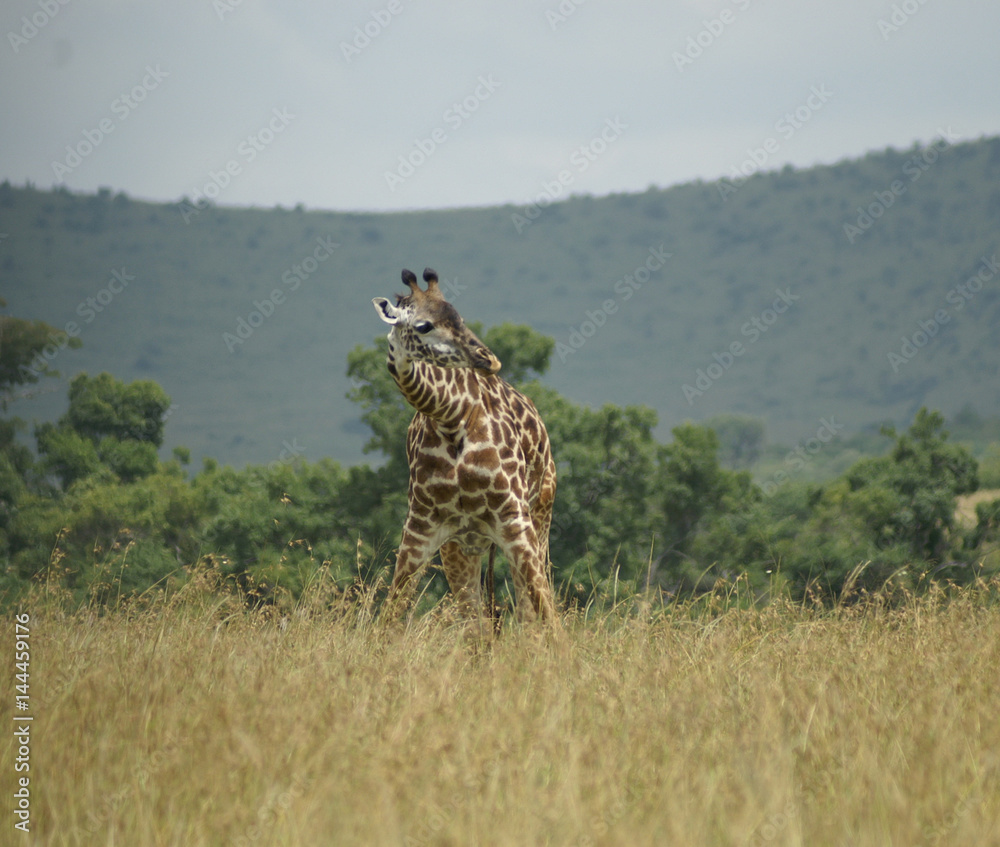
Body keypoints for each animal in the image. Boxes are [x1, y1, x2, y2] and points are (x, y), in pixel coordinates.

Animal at [372, 268, 557, 626]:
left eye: (460, 318)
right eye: (424, 325)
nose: (490, 359)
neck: (451, 417)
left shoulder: (514, 518)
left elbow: (548, 614)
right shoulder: (420, 528)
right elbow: (389, 615)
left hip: (539, 514)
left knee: (530, 611)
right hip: (462, 545)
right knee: (477, 624)